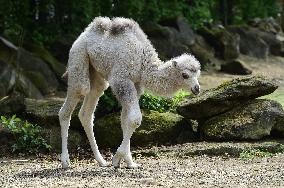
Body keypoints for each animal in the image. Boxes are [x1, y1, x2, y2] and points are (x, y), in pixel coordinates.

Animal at [58, 16, 200, 169]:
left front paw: (127, 162)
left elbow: (126, 120)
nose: (197, 88)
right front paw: (118, 157)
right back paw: (65, 161)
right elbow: (135, 120)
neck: (143, 61)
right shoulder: (122, 80)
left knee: (86, 113)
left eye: (198, 73)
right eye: (185, 75)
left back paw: (101, 161)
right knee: (71, 103)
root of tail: (82, 35)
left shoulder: (136, 85)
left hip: (96, 74)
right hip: (79, 59)